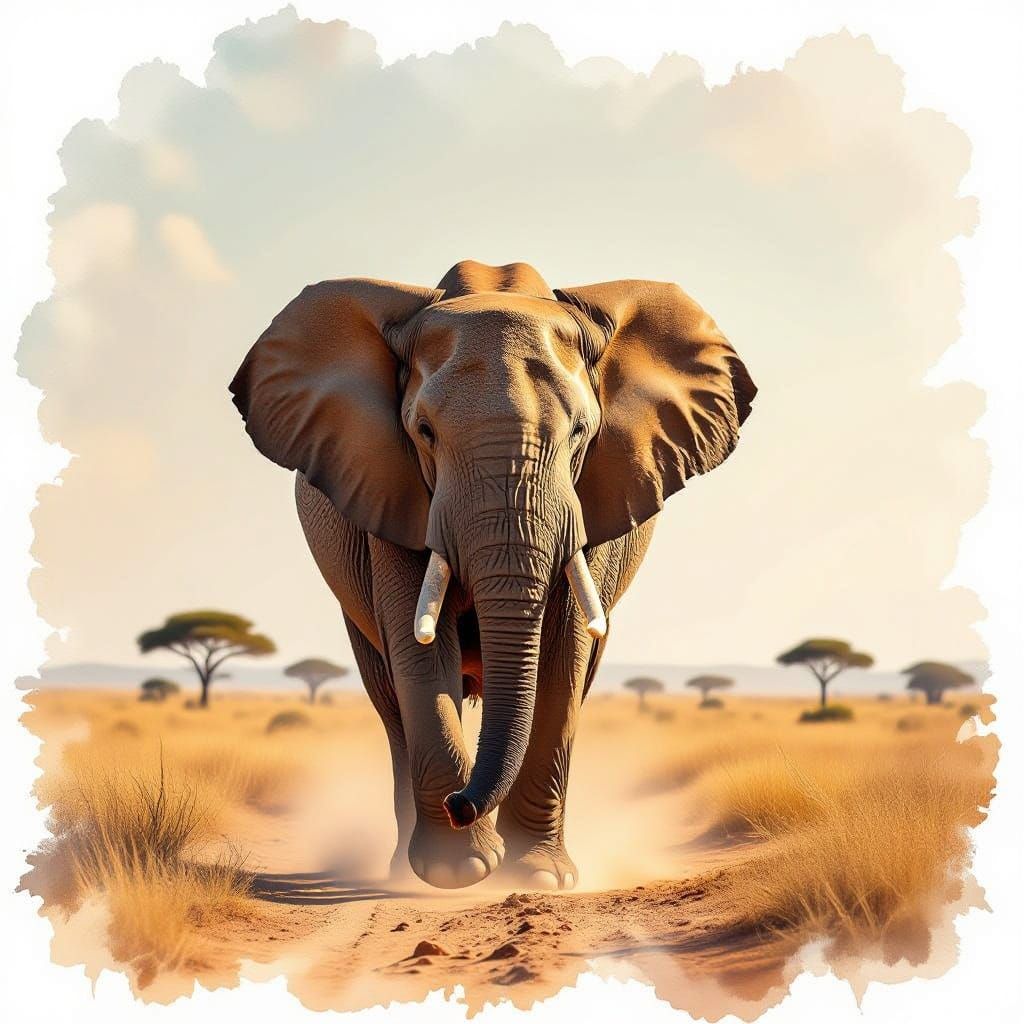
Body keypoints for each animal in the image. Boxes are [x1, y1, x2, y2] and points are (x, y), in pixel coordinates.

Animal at [229, 260, 755, 890]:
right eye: (424, 432)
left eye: (580, 433)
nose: (460, 804)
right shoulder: (391, 488)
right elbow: (418, 653)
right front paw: (459, 872)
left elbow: (562, 655)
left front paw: (537, 878)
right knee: (390, 697)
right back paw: (406, 869)